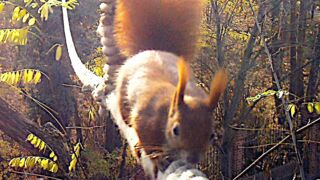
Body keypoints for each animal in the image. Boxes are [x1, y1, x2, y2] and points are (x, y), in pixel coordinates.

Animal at [114, 0, 226, 169]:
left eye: (212, 135)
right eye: (176, 130)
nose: (193, 159)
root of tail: (154, 50)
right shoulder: (145, 119)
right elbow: (146, 141)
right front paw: (156, 158)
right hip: (123, 93)